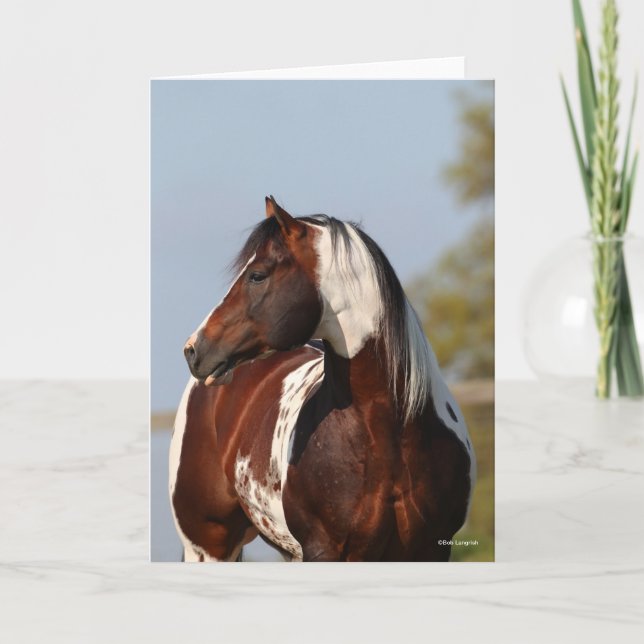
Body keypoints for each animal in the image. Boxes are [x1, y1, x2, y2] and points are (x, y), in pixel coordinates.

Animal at [169, 196, 476, 562]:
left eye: (257, 276)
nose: (193, 349)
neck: (389, 435)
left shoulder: (431, 549)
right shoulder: (324, 549)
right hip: (207, 546)